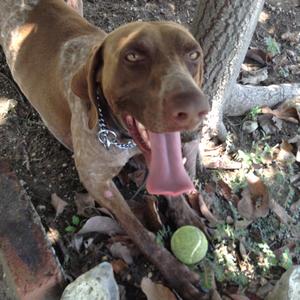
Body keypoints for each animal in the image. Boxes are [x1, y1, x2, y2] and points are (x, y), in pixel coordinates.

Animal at [0, 1, 209, 298]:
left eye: (193, 54)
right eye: (132, 56)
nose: (194, 109)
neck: (117, 134)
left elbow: (174, 192)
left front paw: (187, 215)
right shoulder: (98, 182)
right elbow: (138, 230)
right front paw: (176, 273)